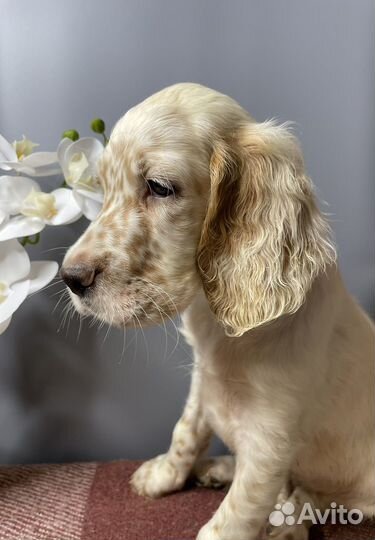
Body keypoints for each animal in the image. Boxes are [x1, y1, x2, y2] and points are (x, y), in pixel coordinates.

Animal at [62, 83, 375, 540]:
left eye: (158, 187)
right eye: (104, 188)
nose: (70, 278)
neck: (220, 327)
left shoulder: (270, 440)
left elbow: (236, 516)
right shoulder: (202, 380)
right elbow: (186, 432)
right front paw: (162, 476)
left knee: (311, 498)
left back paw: (286, 523)